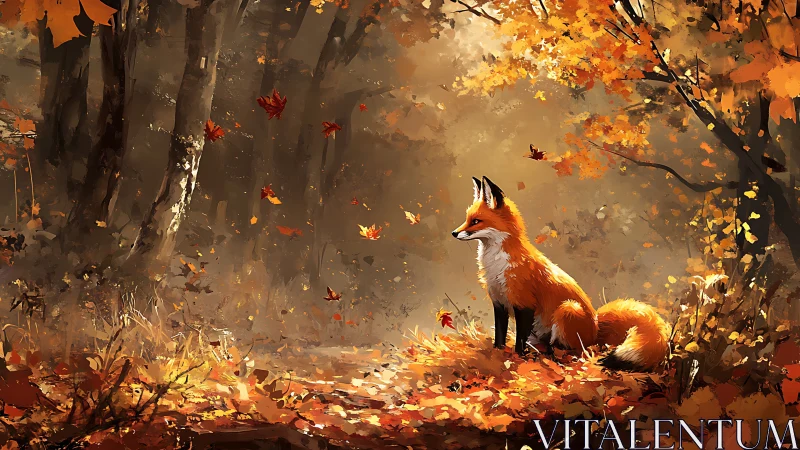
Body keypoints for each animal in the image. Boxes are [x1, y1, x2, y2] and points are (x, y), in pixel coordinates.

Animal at [451, 176, 670, 371]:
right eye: (467, 219)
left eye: (476, 221)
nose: (454, 233)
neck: (497, 266)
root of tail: (596, 328)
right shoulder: (499, 302)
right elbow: (500, 335)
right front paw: (497, 353)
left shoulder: (524, 304)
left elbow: (519, 339)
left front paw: (517, 357)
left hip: (567, 310)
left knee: (573, 350)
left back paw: (552, 353)